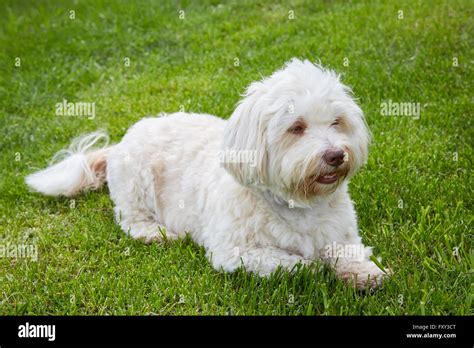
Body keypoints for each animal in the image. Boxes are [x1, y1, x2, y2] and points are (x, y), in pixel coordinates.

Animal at [25, 59, 388, 288]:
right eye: (296, 128)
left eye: (337, 122)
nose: (336, 155)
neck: (297, 203)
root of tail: (119, 144)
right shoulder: (235, 253)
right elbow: (291, 262)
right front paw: (316, 268)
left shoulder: (342, 233)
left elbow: (348, 251)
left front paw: (364, 273)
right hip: (136, 185)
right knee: (130, 220)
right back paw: (156, 233)